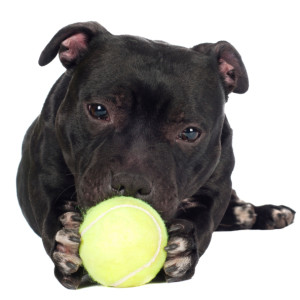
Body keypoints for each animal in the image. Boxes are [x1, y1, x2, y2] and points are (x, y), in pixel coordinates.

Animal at [17, 21, 296, 288]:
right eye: (98, 110)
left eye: (190, 133)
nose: (131, 183)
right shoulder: (46, 180)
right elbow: (51, 215)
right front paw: (65, 244)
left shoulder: (217, 187)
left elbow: (205, 219)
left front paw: (184, 247)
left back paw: (266, 213)